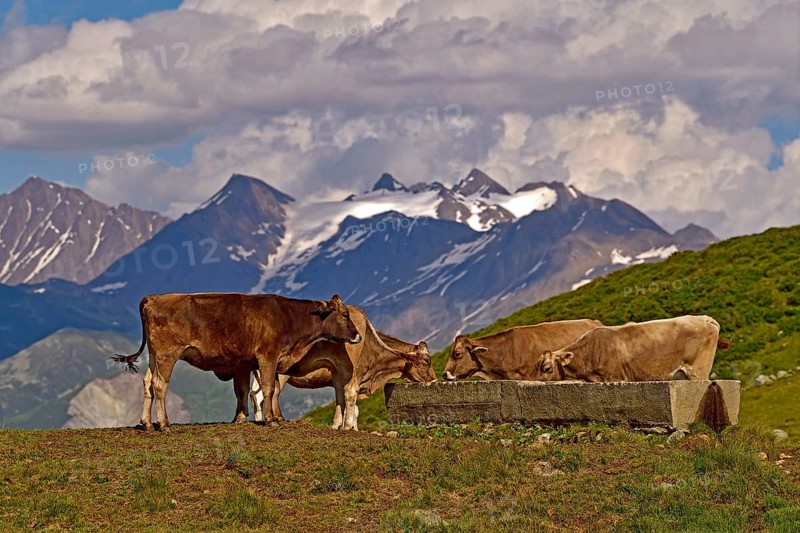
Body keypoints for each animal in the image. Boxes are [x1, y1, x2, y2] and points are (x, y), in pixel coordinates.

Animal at [110, 293, 361, 431]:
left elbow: (242, 390)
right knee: (159, 385)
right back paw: (164, 424)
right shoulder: (268, 356)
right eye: (344, 315)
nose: (357, 335)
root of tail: (154, 298)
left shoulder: (244, 363)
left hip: (154, 356)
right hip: (166, 354)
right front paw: (271, 420)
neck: (289, 317)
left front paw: (240, 418)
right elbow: (269, 388)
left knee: (147, 383)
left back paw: (146, 423)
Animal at [249, 306, 436, 430]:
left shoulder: (337, 374)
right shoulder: (353, 375)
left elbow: (341, 399)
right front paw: (350, 428)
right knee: (271, 393)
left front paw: (336, 425)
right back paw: (277, 418)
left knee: (257, 395)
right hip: (279, 372)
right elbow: (353, 403)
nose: (434, 380)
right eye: (427, 360)